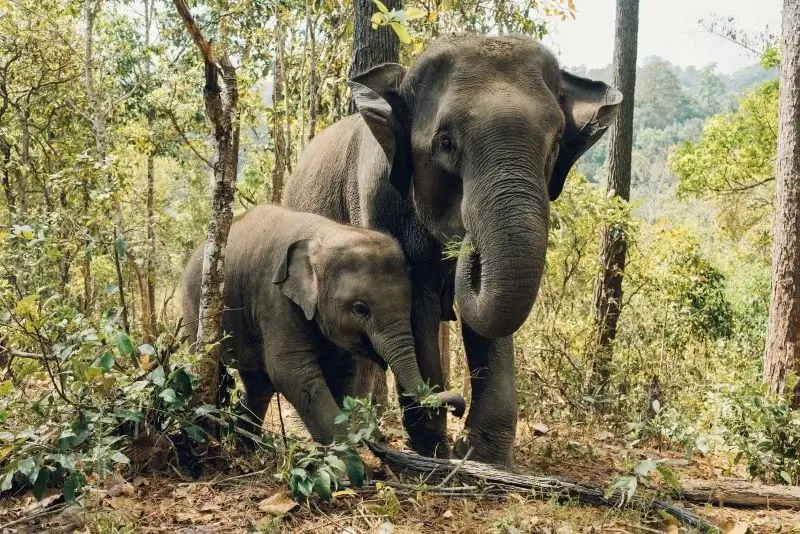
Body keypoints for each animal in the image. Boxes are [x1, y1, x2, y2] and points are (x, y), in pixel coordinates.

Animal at [182, 203, 466, 446]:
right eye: (360, 309)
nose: (458, 409)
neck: (324, 234)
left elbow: (341, 370)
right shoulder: (275, 298)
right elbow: (292, 371)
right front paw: (350, 462)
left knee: (258, 385)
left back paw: (246, 445)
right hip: (194, 308)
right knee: (213, 368)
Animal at [284, 34, 620, 468]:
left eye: (556, 144)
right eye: (445, 143)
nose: (466, 244)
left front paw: (483, 457)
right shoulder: (376, 199)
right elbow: (416, 304)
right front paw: (435, 448)